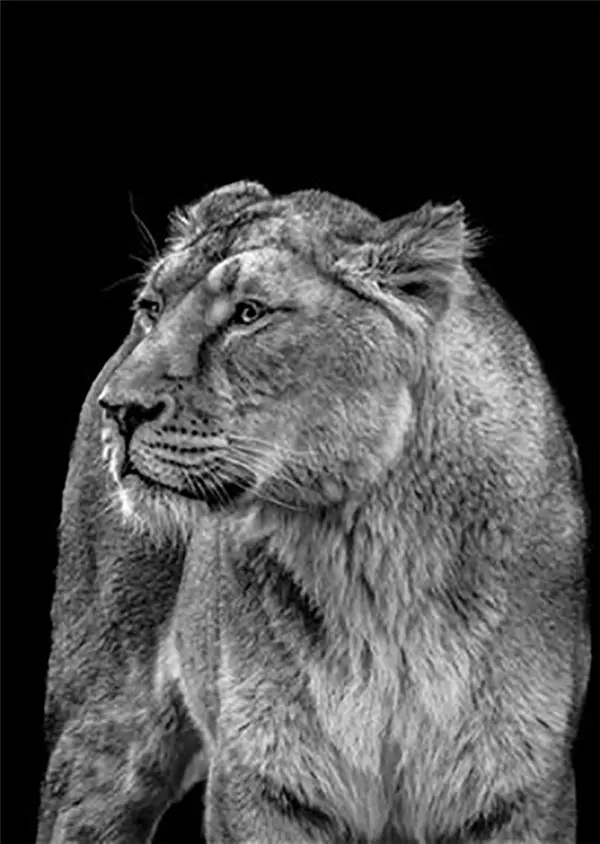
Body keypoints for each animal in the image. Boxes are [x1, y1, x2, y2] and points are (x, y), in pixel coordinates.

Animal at [38, 181, 590, 843]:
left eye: (248, 315)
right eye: (151, 306)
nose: (117, 408)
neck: (370, 547)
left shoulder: (522, 785)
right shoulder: (265, 782)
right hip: (101, 729)